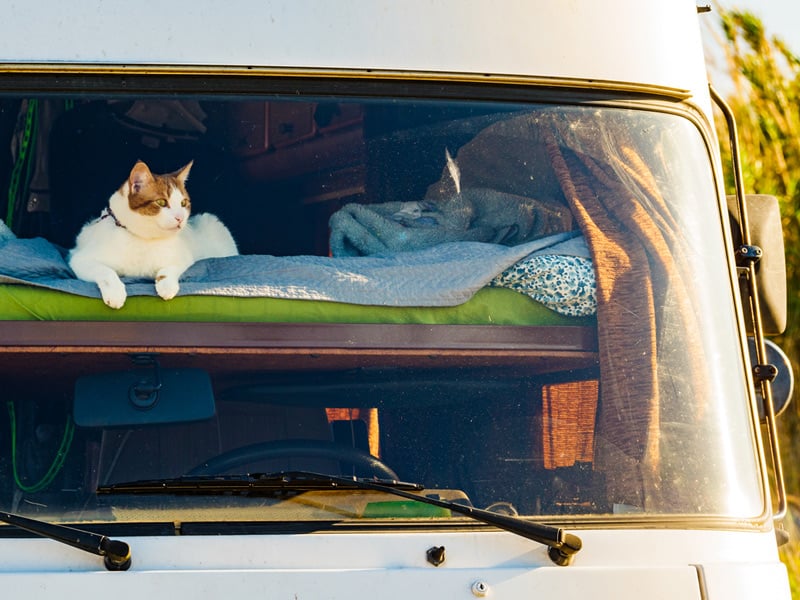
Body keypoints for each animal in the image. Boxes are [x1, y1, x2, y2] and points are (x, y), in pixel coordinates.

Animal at [68, 161, 238, 310]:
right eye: (161, 202)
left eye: (183, 203)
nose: (180, 218)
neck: (143, 239)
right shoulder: (79, 259)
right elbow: (105, 271)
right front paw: (115, 293)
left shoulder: (184, 258)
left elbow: (169, 269)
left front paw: (167, 285)